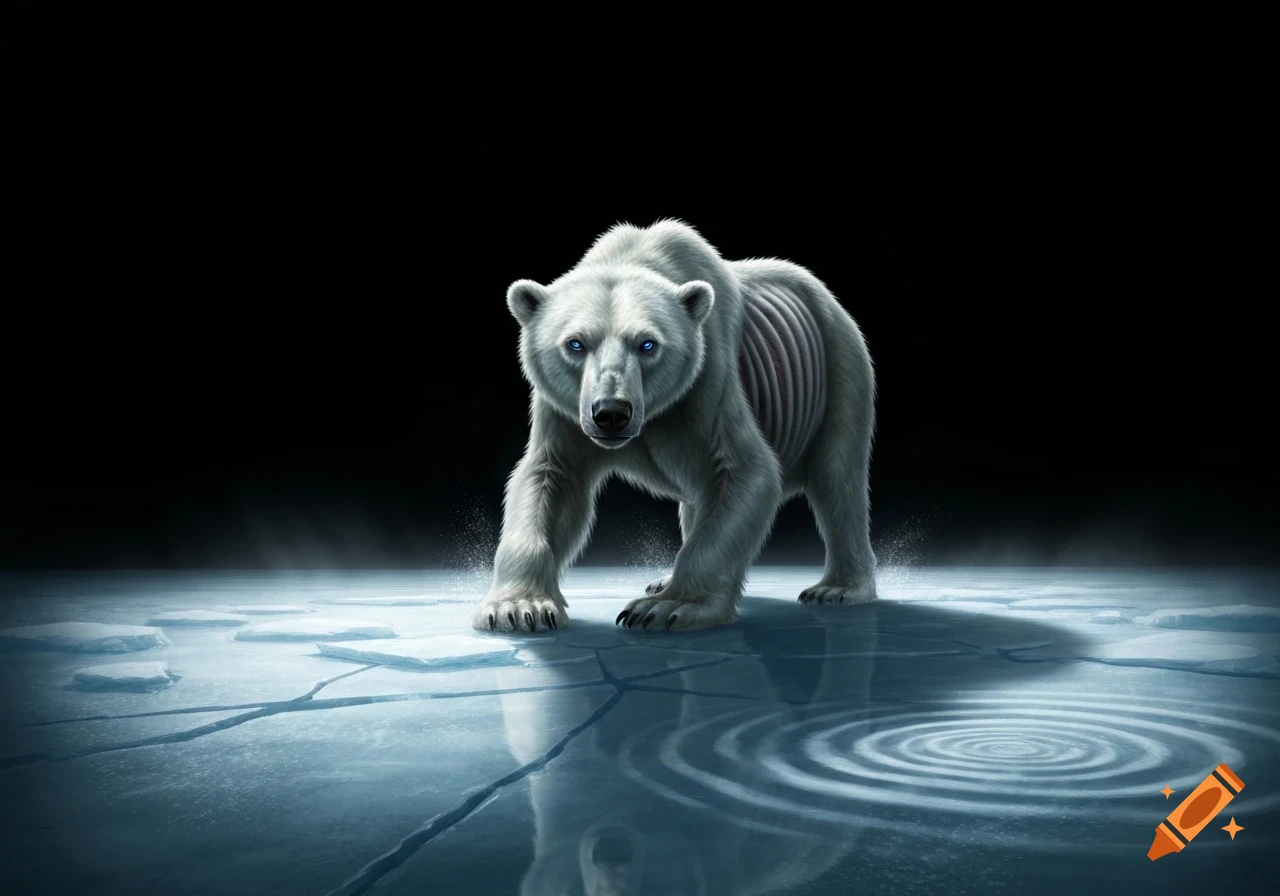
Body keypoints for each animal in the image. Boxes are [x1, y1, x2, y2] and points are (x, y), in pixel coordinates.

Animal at [473, 218, 876, 633]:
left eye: (648, 344)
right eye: (575, 343)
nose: (612, 412)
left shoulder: (708, 381)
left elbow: (745, 472)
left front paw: (664, 607)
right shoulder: (564, 412)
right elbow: (551, 480)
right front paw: (521, 607)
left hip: (839, 364)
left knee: (838, 478)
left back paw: (837, 588)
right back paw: (661, 579)